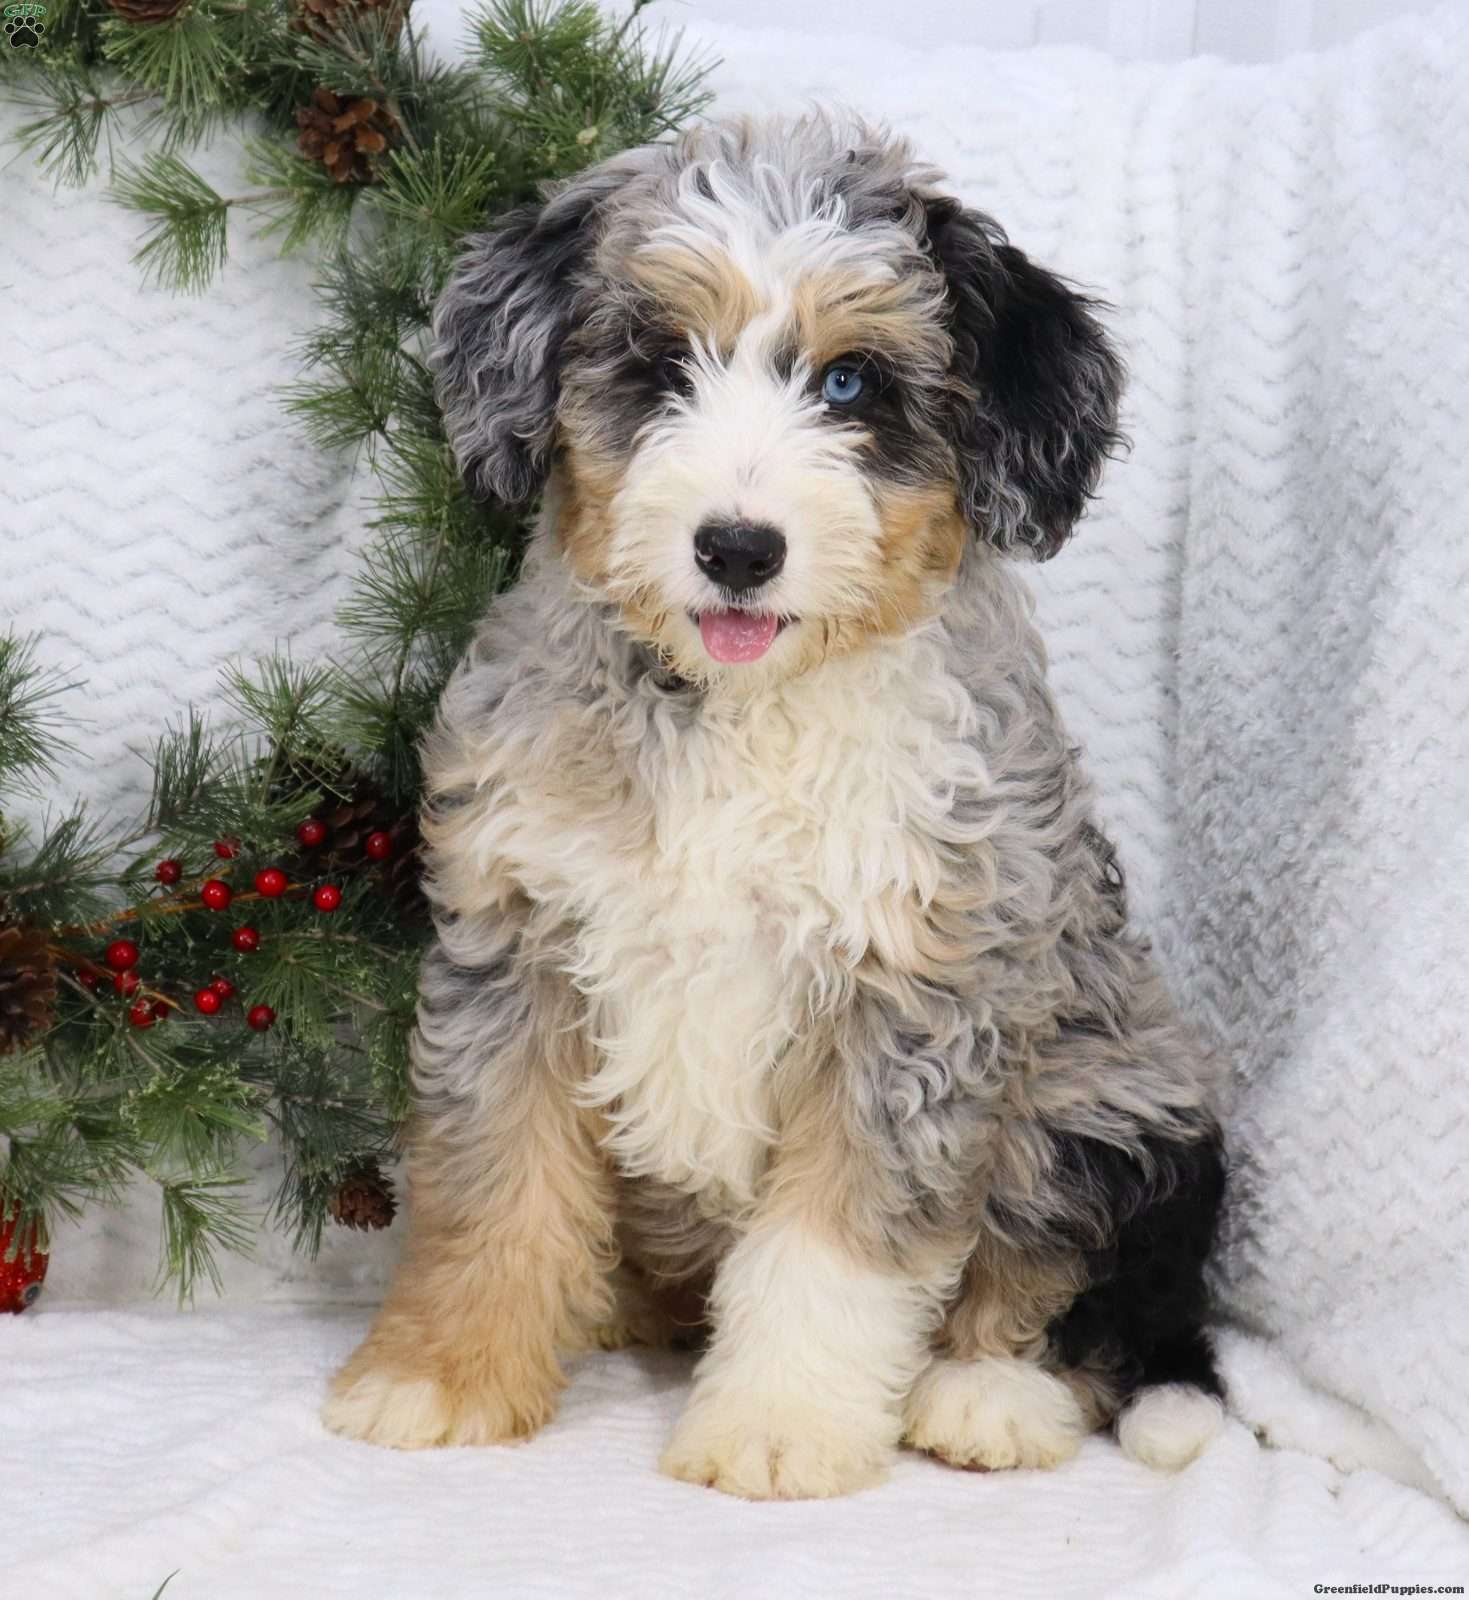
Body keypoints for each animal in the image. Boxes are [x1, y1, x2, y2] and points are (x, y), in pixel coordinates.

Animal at [322, 113, 1227, 1500]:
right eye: (658, 365)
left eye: (849, 384)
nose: (737, 547)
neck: (731, 710)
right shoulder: (513, 939)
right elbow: (493, 1180)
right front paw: (443, 1376)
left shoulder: (914, 988)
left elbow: (835, 1243)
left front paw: (776, 1426)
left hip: (1102, 1081)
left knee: (1077, 1278)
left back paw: (989, 1396)